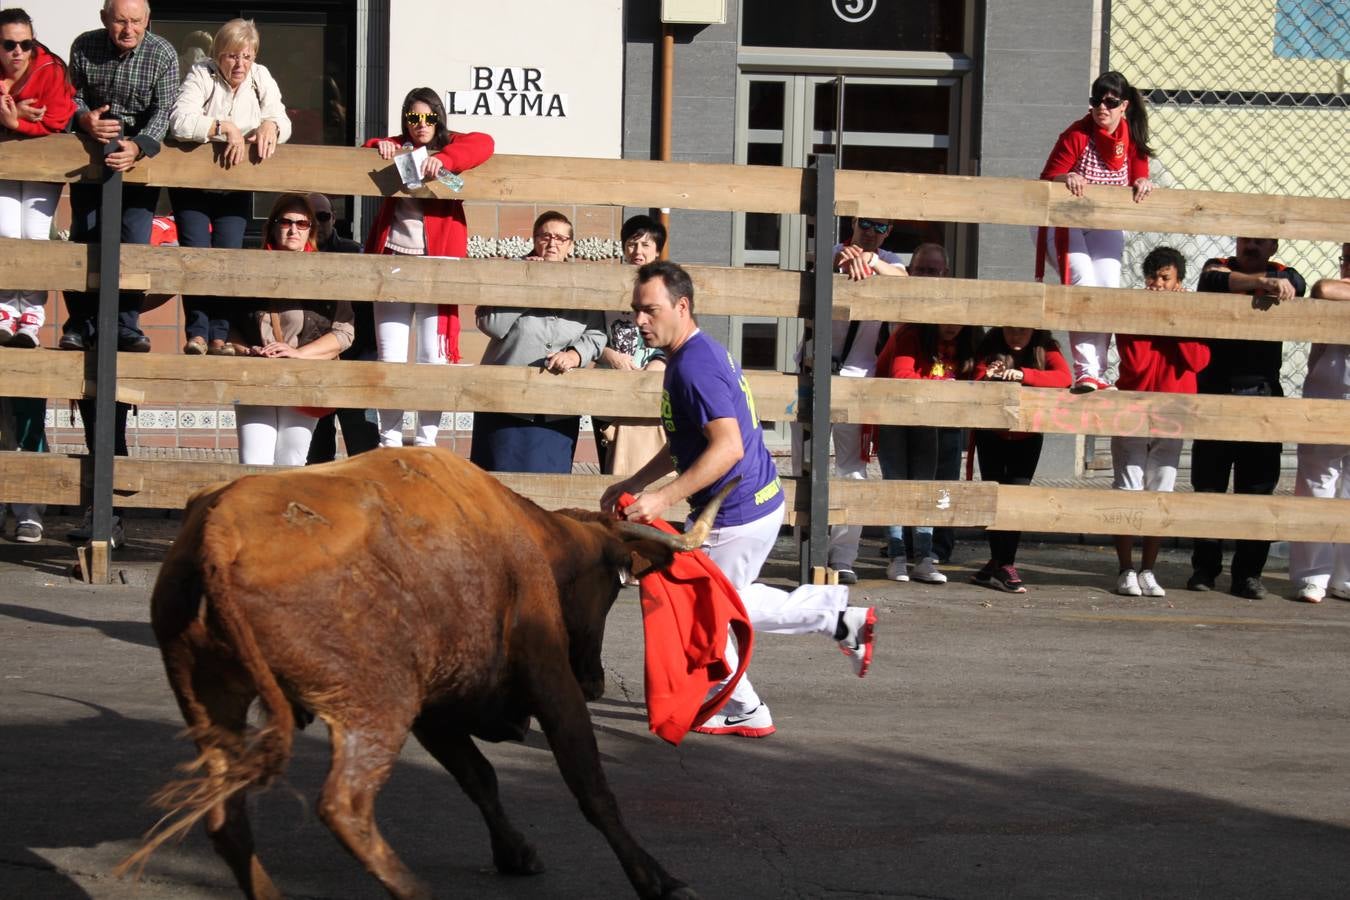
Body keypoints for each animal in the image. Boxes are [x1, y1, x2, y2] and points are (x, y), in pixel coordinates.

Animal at [122, 447, 723, 900]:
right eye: (612, 587)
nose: (596, 682)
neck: (531, 539)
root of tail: (218, 531)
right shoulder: (549, 678)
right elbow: (591, 787)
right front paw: (659, 880)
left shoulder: (435, 710)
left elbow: (480, 777)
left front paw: (516, 852)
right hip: (374, 707)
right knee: (345, 807)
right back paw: (414, 890)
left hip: (210, 702)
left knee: (227, 820)